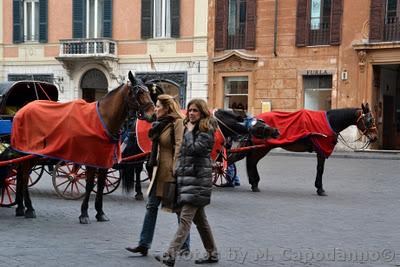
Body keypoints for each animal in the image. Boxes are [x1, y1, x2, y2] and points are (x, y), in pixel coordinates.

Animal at [1, 71, 155, 224]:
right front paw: (84, 213)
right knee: (24, 176)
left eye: (149, 92)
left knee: (21, 175)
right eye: (139, 92)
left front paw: (100, 212)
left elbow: (100, 185)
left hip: (31, 154)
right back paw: (29, 208)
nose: (153, 115)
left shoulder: (104, 160)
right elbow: (89, 184)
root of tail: (22, 110)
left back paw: (21, 207)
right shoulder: (90, 160)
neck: (102, 121)